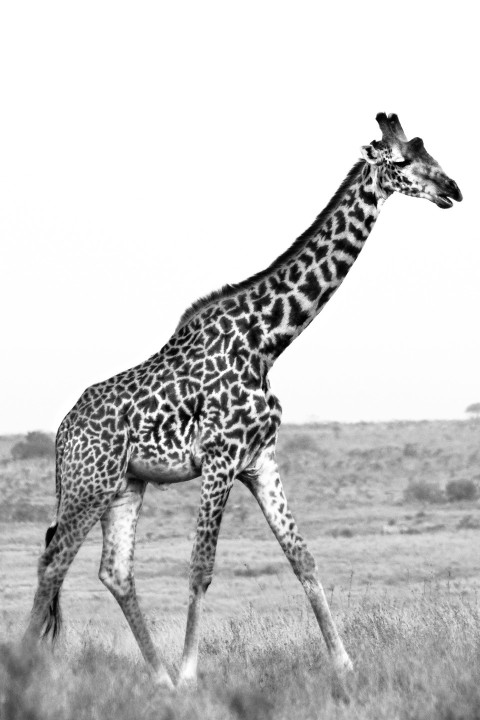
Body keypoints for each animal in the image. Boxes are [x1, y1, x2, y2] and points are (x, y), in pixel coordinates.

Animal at [25, 113, 462, 689]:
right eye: (403, 160)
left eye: (425, 150)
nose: (453, 189)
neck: (268, 340)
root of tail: (61, 432)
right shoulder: (220, 458)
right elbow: (201, 567)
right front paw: (191, 675)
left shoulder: (259, 459)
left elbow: (303, 559)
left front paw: (345, 665)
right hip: (86, 483)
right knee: (53, 562)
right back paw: (36, 667)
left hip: (124, 487)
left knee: (113, 571)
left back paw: (159, 680)